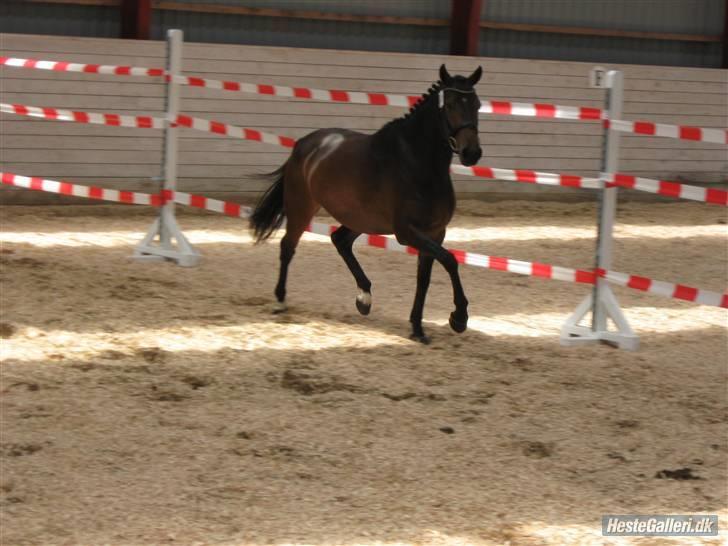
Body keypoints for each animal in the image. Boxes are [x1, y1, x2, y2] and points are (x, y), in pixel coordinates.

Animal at [249, 64, 483, 343]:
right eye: (449, 104)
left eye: (477, 104)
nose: (472, 153)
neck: (417, 163)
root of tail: (303, 144)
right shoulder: (407, 232)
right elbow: (450, 261)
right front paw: (459, 318)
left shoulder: (435, 232)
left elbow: (425, 278)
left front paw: (417, 328)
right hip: (302, 207)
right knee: (288, 247)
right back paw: (280, 301)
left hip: (360, 219)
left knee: (340, 240)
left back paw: (364, 298)